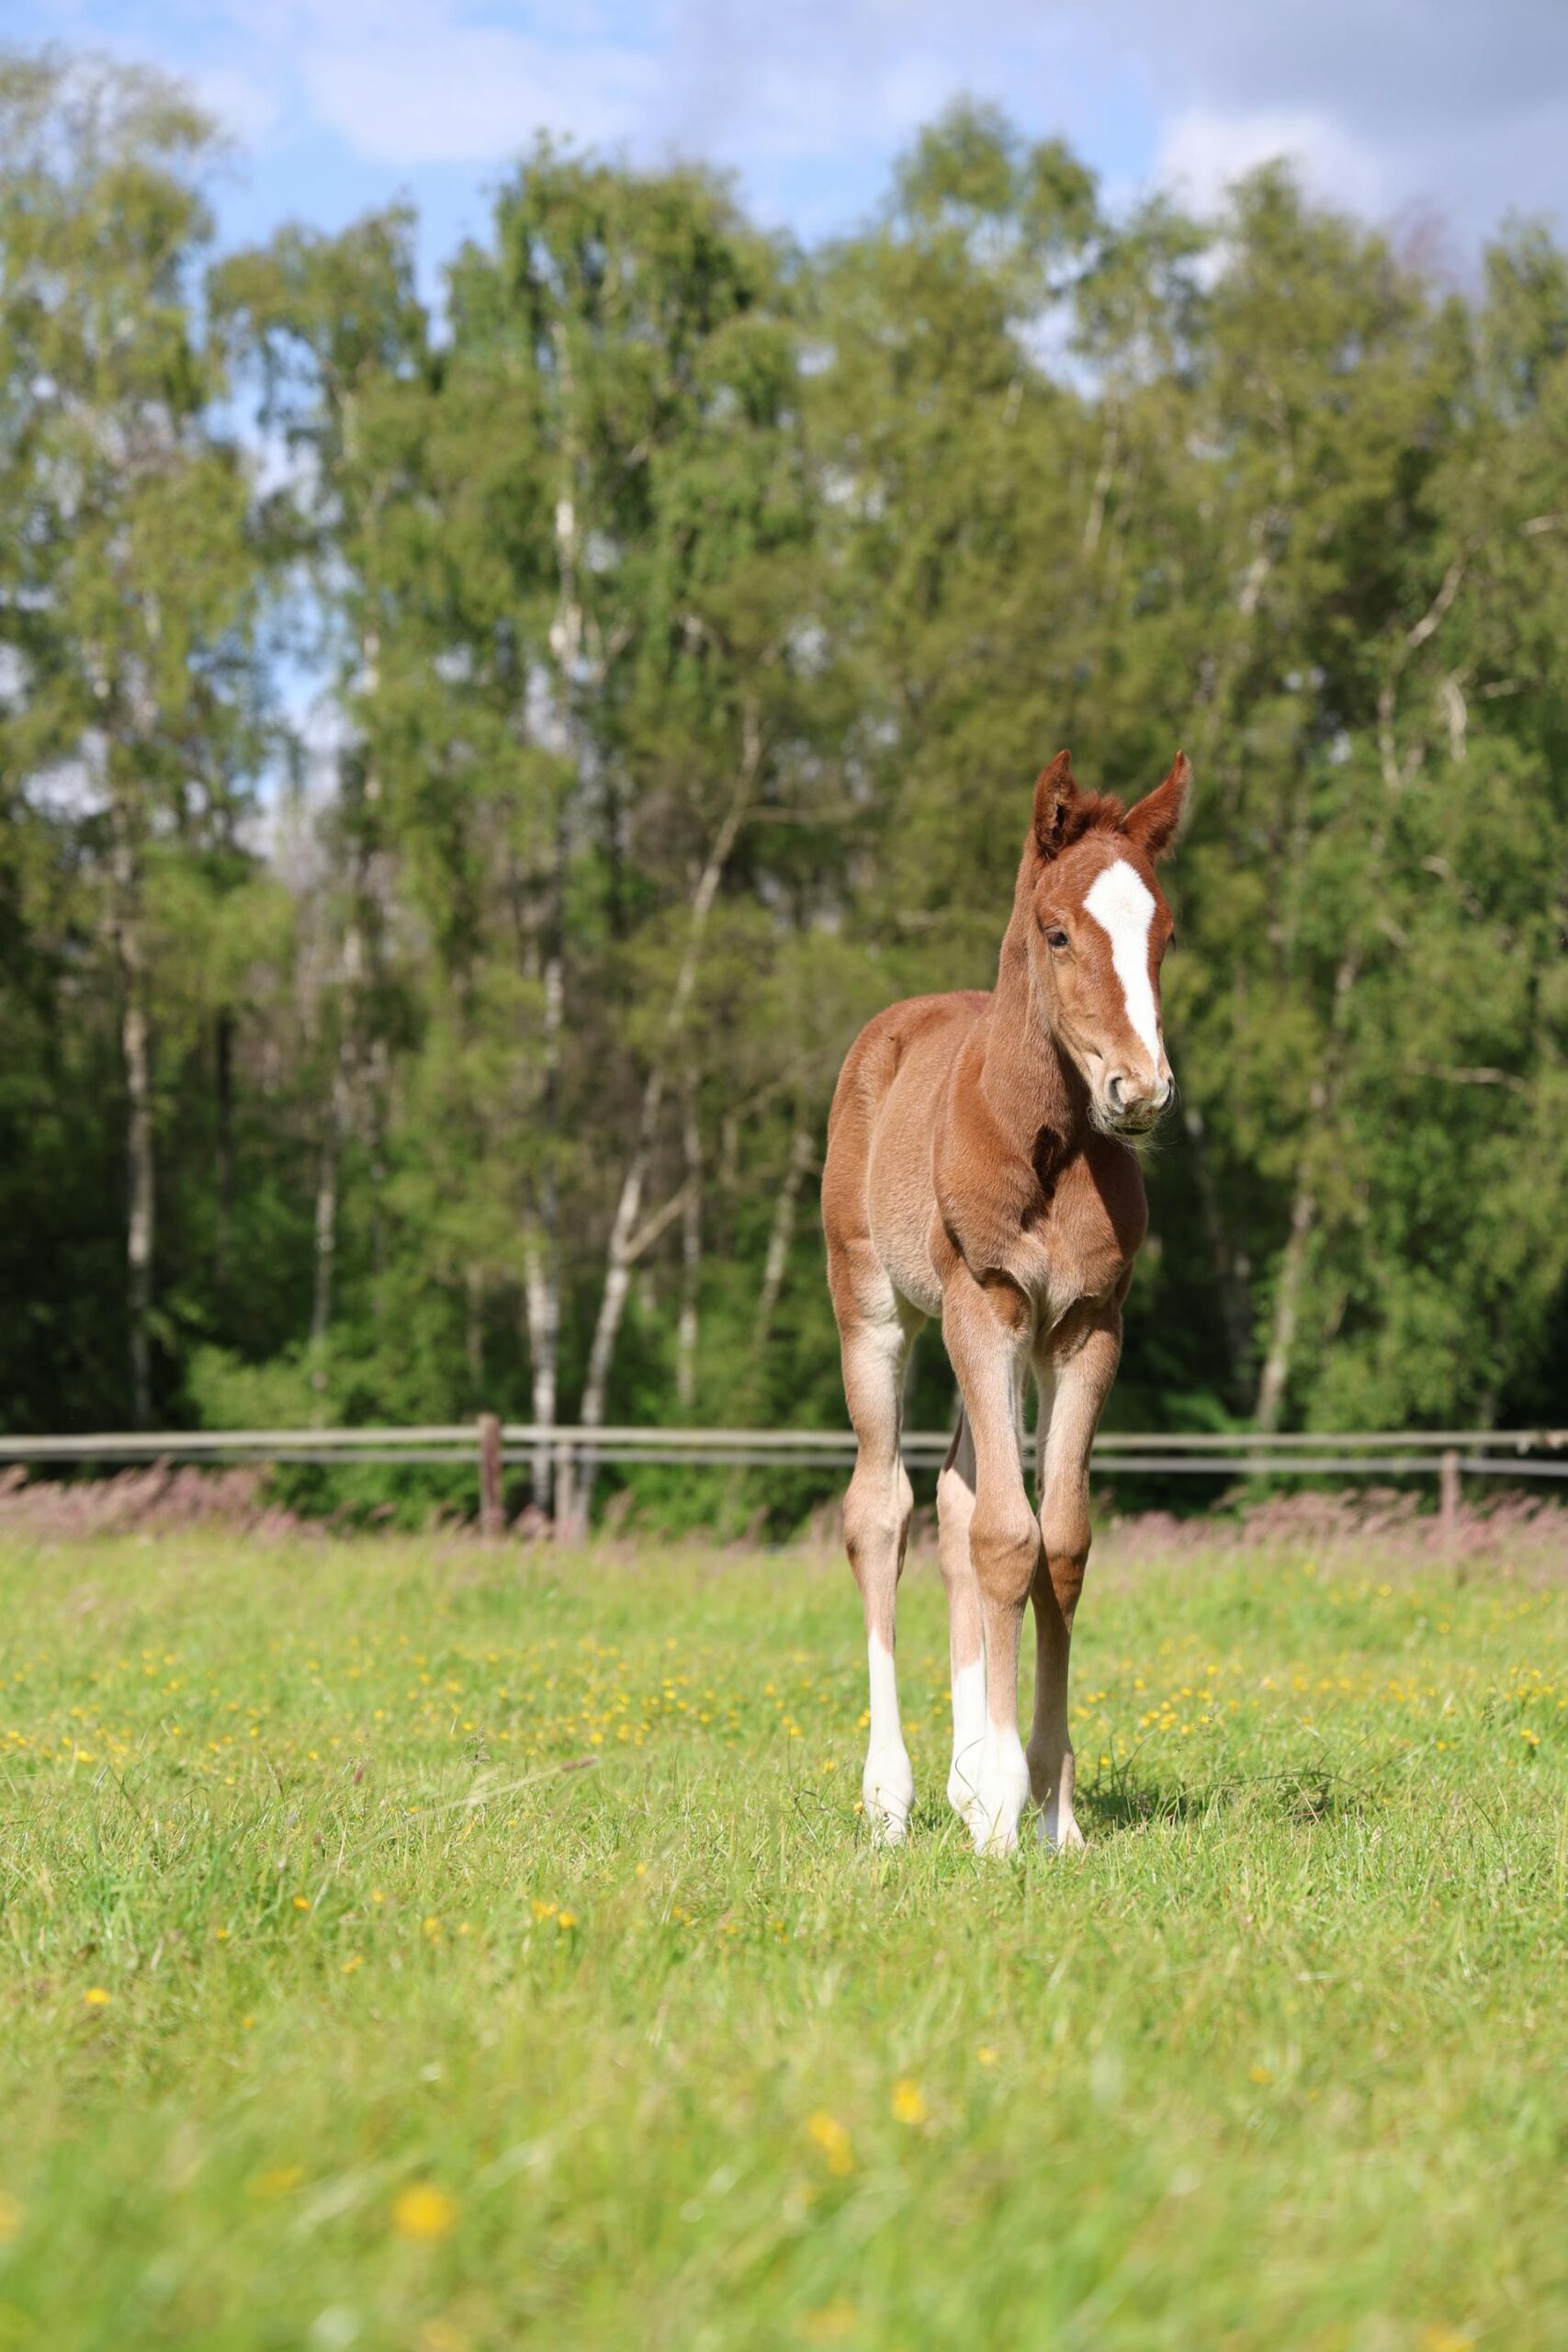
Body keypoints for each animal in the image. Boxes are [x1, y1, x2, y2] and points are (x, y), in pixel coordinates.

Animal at [821, 748, 1191, 1855]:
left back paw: (964, 1777)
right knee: (881, 1511)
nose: (1139, 1091)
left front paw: (1048, 1808)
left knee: (954, 1497)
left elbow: (1055, 1540)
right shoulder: (982, 1304)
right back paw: (893, 1797)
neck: (1048, 1146)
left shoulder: (1083, 1325)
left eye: (1164, 933)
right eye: (1058, 931)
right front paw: (999, 1817)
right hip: (878, 1310)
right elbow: (1004, 1537)